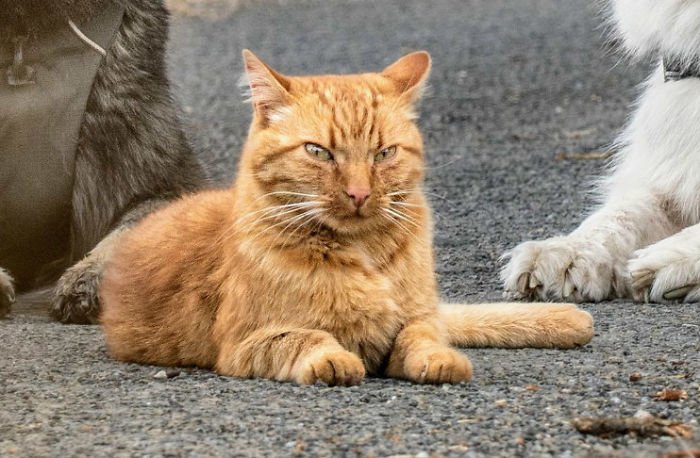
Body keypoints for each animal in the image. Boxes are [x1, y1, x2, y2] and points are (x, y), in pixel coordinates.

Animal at [101, 50, 592, 384]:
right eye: (318, 152)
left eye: (384, 153)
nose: (359, 193)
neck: (366, 254)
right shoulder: (245, 343)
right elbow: (307, 337)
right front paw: (331, 359)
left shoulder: (416, 318)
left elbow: (424, 335)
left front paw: (439, 359)